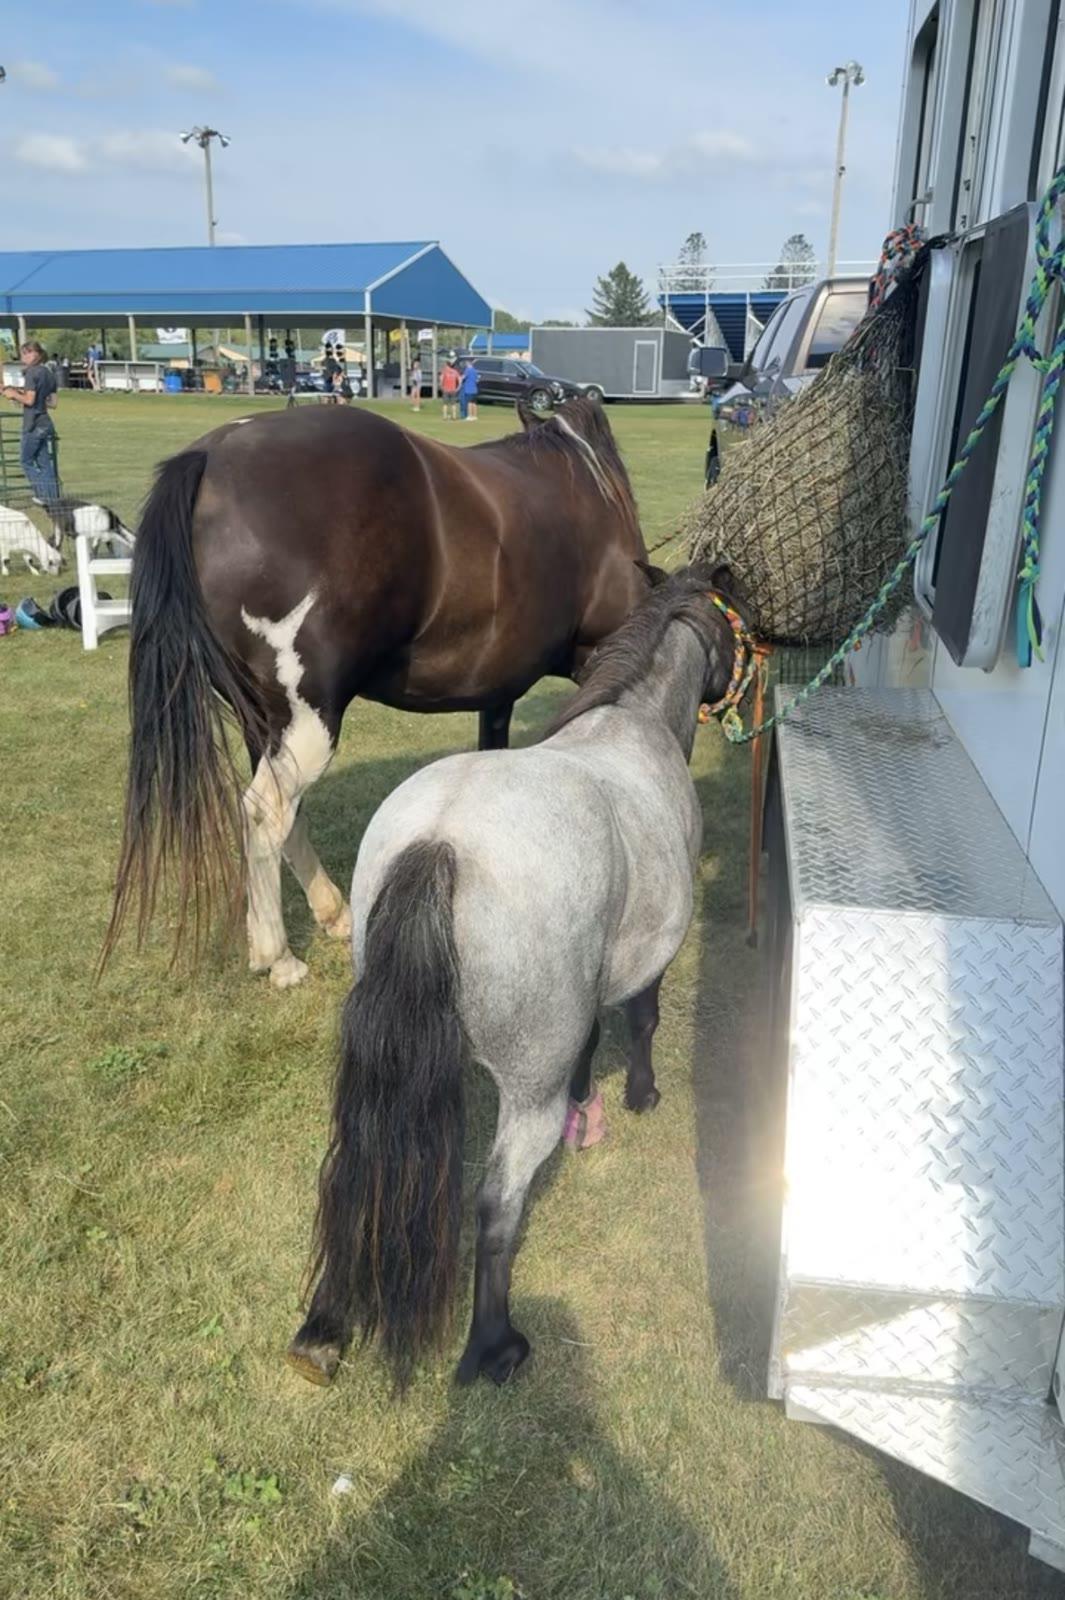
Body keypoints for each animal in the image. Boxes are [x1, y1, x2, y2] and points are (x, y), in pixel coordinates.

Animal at [105, 395, 648, 988]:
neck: (586, 485)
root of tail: (212, 456)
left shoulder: (499, 691)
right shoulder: (596, 658)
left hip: (266, 721)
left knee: (284, 812)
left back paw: (328, 914)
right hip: (309, 720)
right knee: (266, 813)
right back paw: (279, 956)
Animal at [286, 561, 747, 1389]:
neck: (631, 723)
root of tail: (437, 844)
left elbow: (590, 1038)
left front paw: (588, 1105)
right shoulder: (649, 959)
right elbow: (640, 1020)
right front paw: (639, 1096)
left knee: (352, 1166)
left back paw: (323, 1330)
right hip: (522, 1093)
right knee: (497, 1203)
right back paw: (493, 1347)